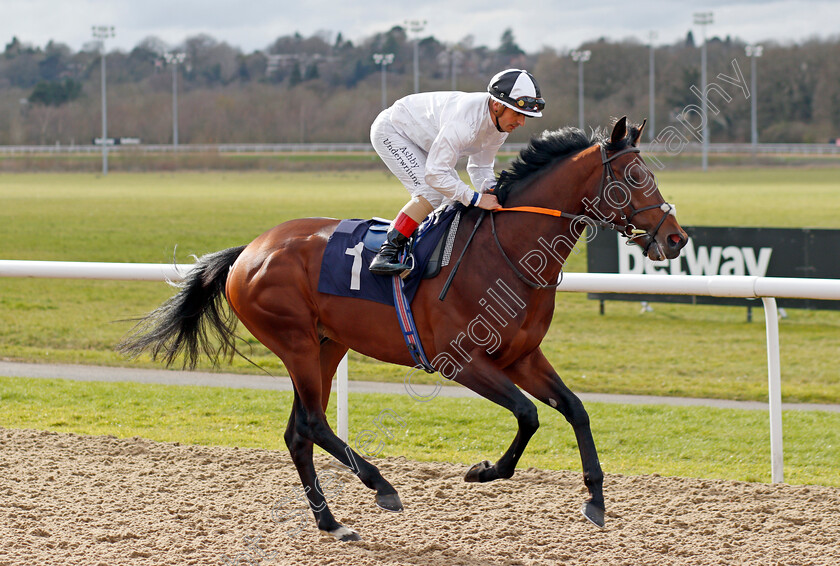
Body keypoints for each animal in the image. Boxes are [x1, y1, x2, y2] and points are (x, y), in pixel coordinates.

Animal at [120, 117, 688, 544]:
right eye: (633, 176)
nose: (676, 238)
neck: (506, 250)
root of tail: (250, 250)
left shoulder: (522, 356)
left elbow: (574, 409)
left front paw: (595, 498)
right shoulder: (461, 361)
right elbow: (528, 415)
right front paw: (483, 471)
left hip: (327, 344)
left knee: (298, 432)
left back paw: (331, 522)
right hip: (295, 342)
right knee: (314, 424)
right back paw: (380, 486)